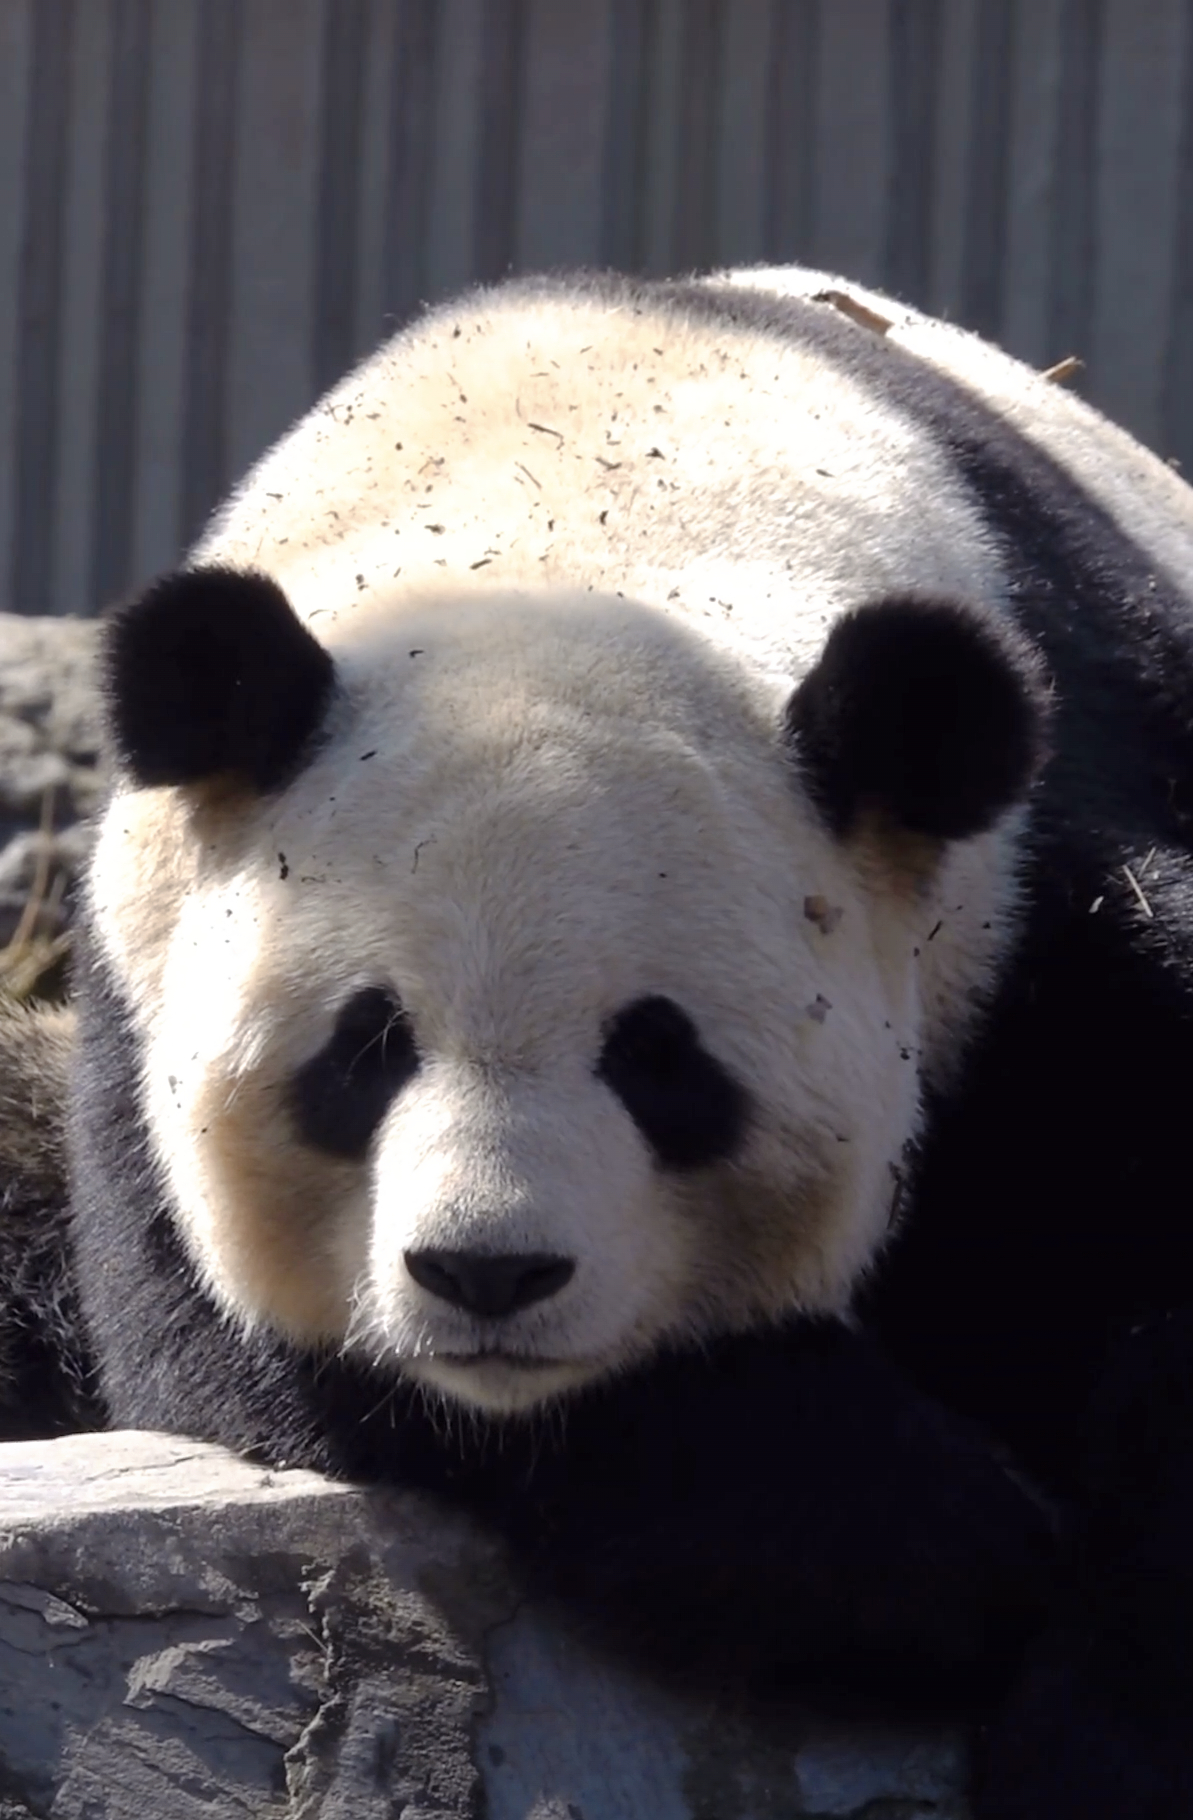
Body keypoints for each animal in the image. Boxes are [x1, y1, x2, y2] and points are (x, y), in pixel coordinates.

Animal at [18, 269, 1193, 1820]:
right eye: (365, 1048)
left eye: (658, 1057)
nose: (487, 1273)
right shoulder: (138, 1003)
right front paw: (969, 1553)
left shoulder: (1033, 889)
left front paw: (1101, 1724)